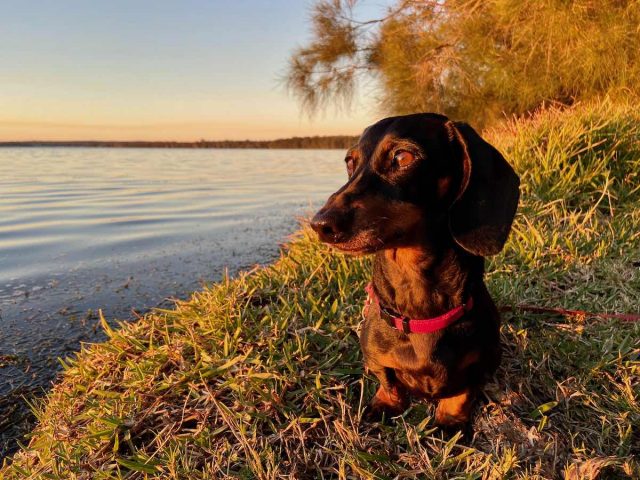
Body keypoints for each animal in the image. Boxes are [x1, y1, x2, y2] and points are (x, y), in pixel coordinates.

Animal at [312, 113, 520, 428]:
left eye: (403, 157)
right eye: (350, 162)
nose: (320, 225)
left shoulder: (481, 361)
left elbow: (461, 392)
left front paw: (451, 422)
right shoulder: (376, 358)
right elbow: (389, 381)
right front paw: (386, 404)